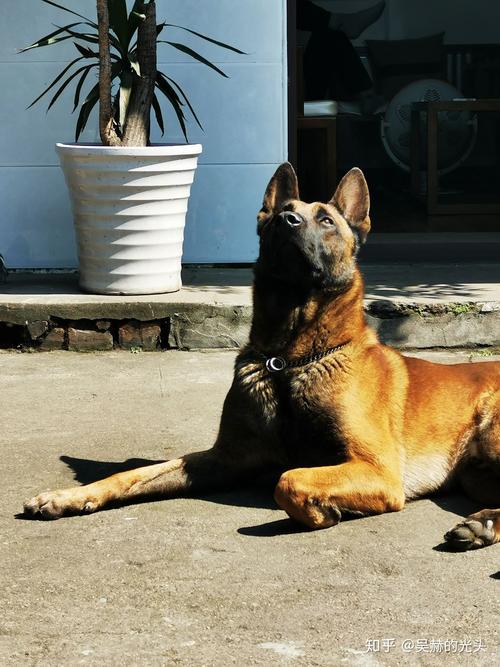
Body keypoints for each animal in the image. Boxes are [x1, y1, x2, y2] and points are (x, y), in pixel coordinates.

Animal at [22, 164, 500, 552]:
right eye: (280, 211)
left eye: (325, 220)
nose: (286, 221)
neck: (287, 360)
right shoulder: (223, 458)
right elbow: (134, 475)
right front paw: (69, 496)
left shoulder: (378, 470)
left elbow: (288, 480)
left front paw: (322, 511)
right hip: (477, 474)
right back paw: (483, 525)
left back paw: (482, 526)